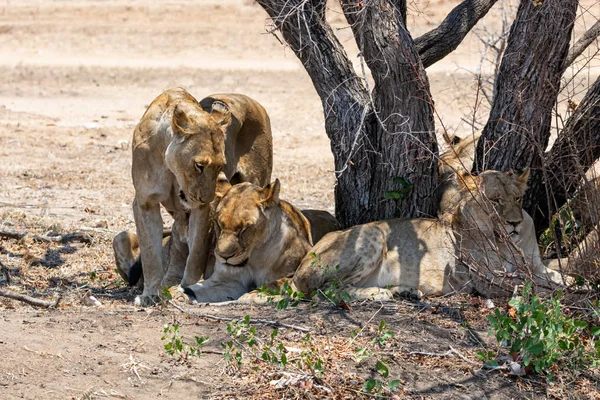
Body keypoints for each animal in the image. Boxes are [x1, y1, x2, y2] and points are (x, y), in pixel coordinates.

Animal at [132, 88, 274, 306]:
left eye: (220, 165)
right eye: (199, 165)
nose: (206, 198)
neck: (170, 167)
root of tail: (252, 101)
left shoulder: (201, 210)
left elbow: (196, 253)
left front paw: (187, 288)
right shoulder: (144, 202)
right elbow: (149, 254)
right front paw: (149, 295)